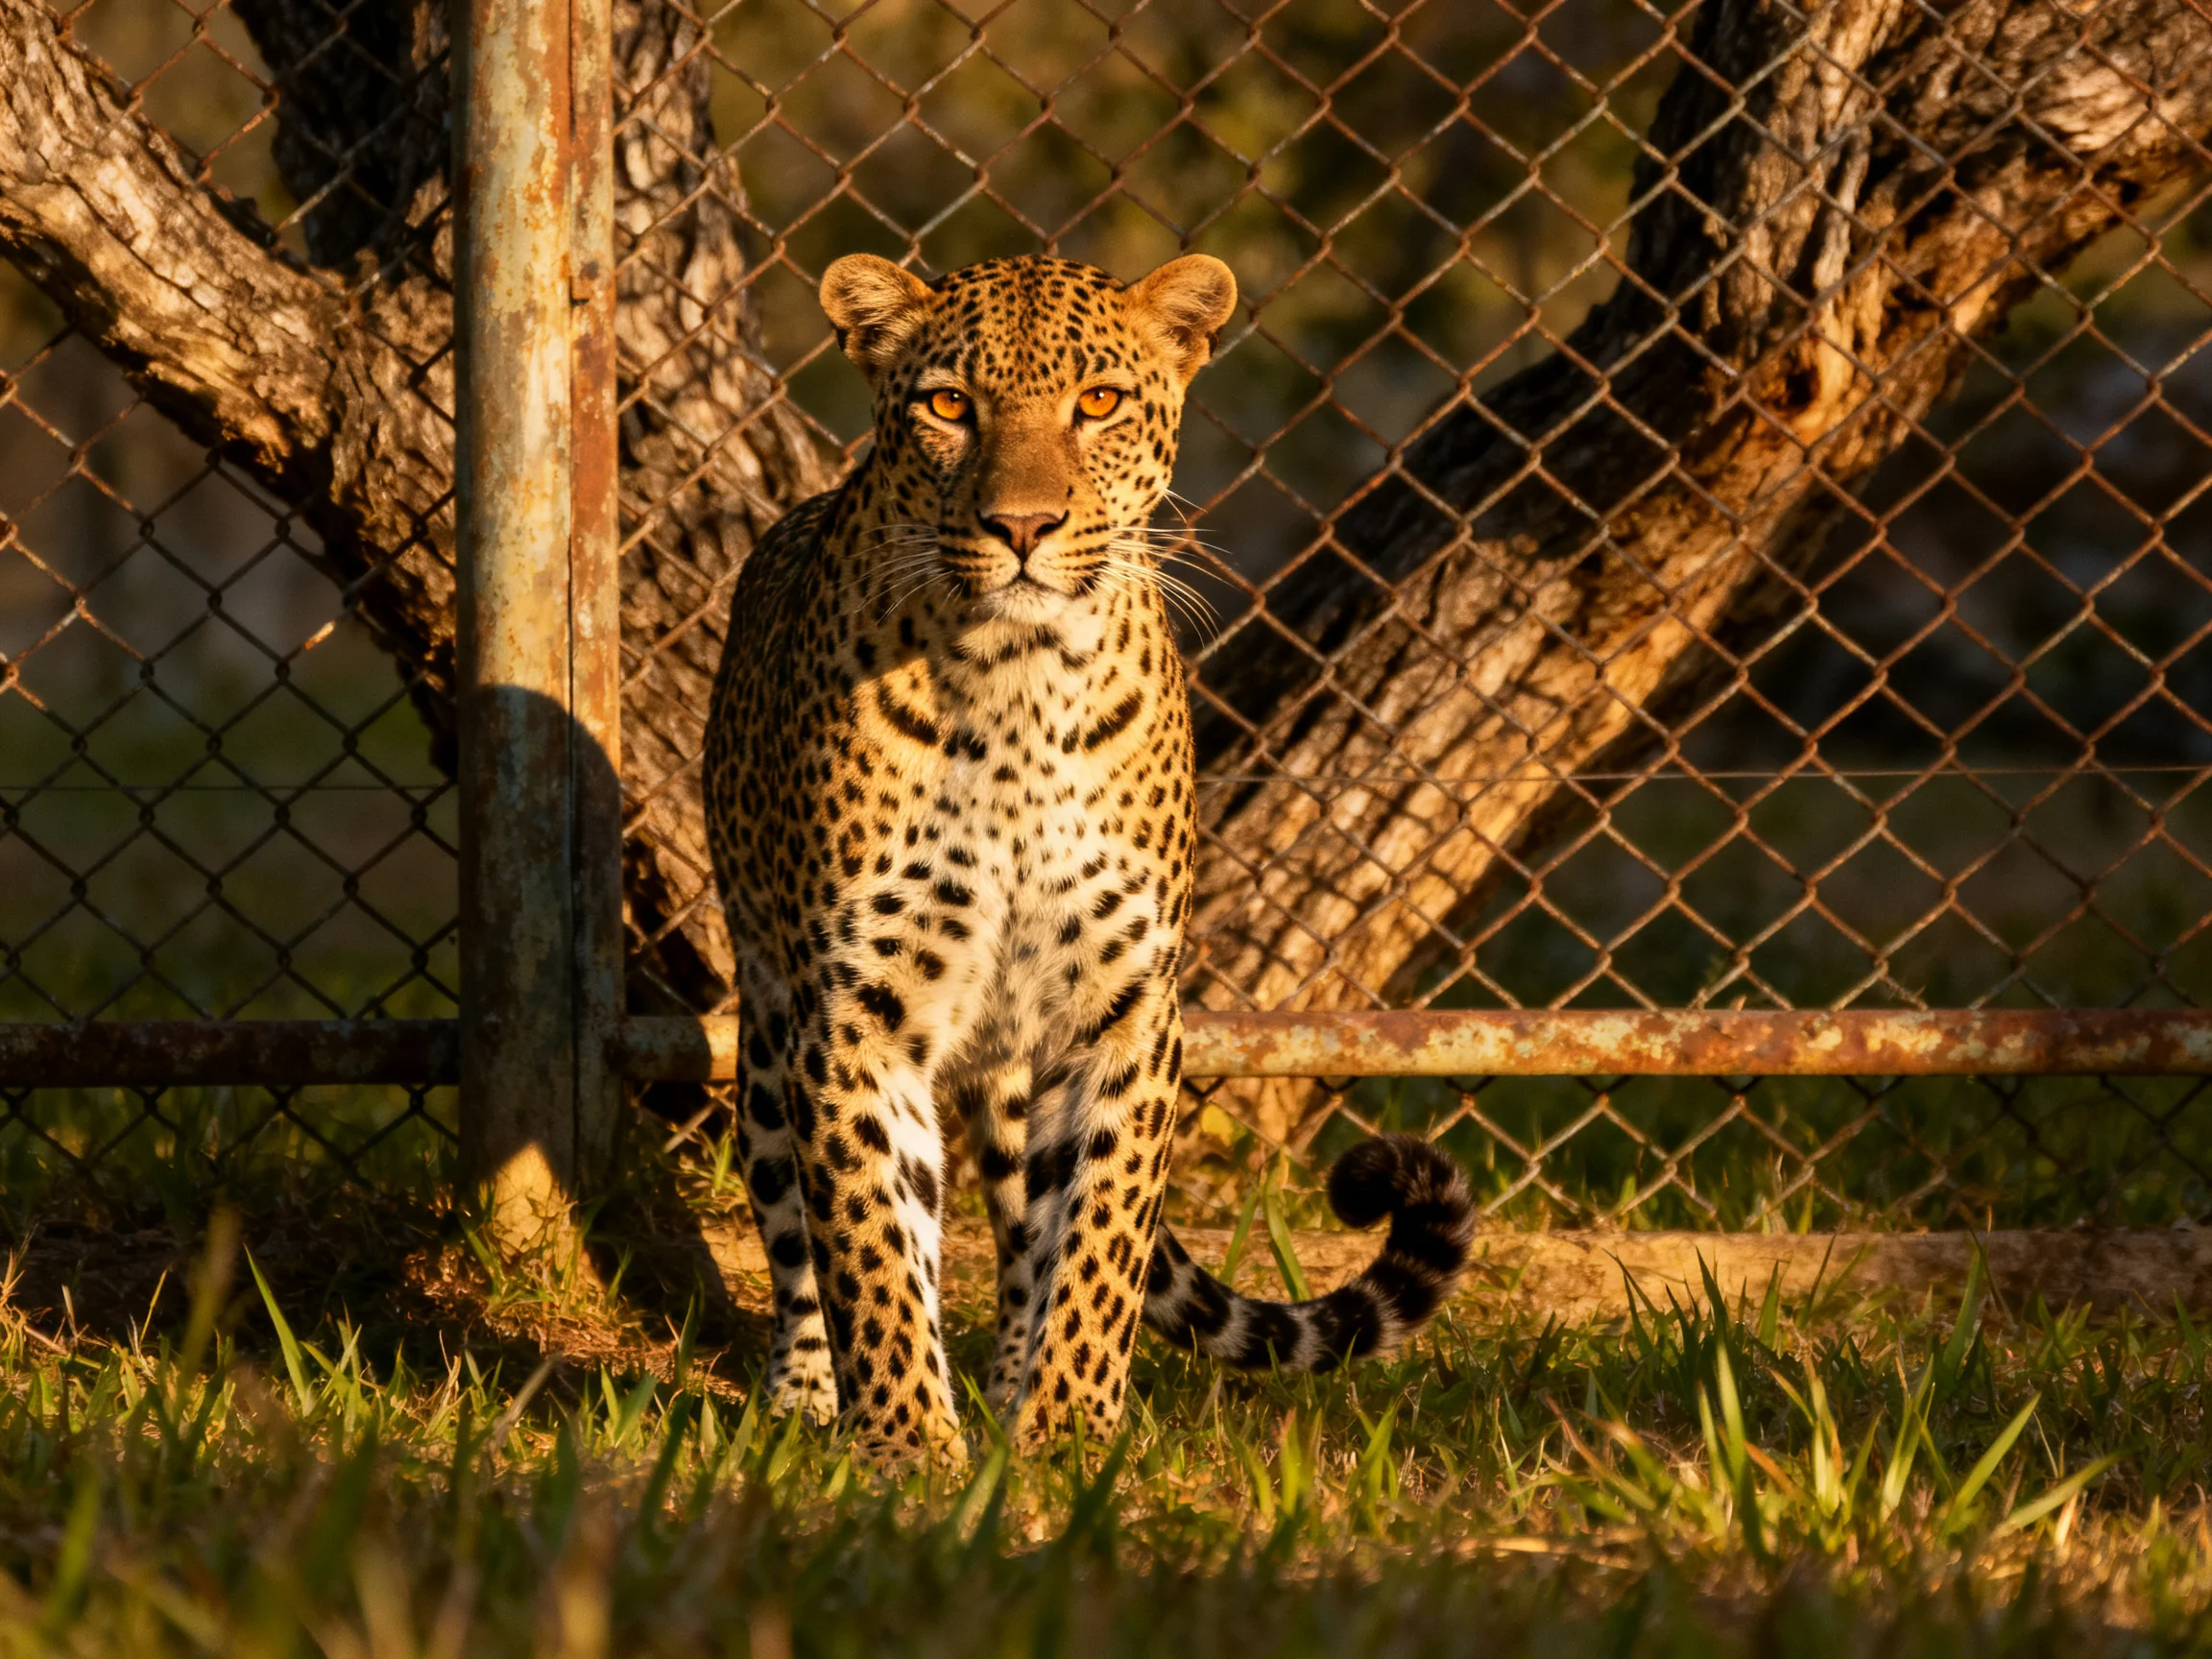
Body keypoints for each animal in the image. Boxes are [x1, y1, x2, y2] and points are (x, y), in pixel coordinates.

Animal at [703, 250, 1477, 1459]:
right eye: (948, 406)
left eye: (1100, 402)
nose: (1023, 526)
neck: (1016, 683)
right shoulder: (855, 1011)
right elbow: (871, 1242)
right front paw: (907, 1446)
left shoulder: (1126, 1007)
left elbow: (1101, 1238)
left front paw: (1066, 1433)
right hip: (771, 1021)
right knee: (796, 1228)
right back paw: (804, 1399)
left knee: (1026, 1234)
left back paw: (1011, 1389)